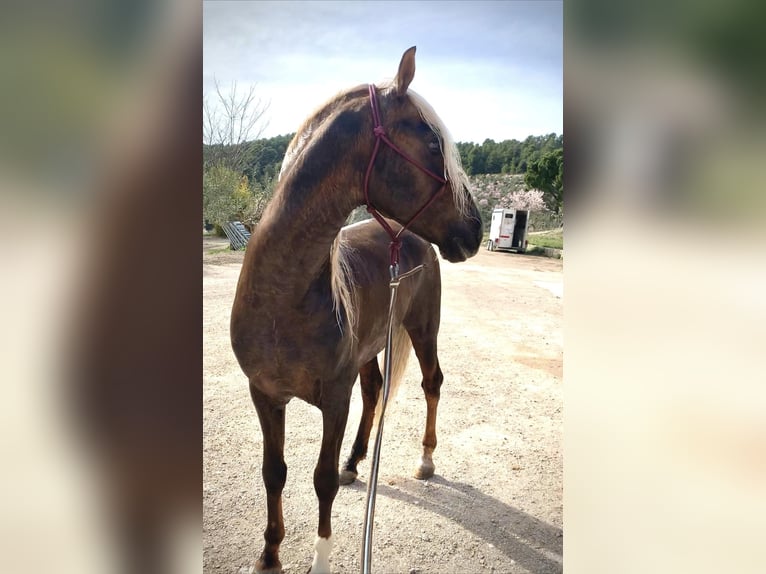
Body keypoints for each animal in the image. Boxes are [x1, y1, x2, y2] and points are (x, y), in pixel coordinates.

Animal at [231, 48, 484, 574]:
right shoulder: (264, 394)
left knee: (432, 383)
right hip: (371, 346)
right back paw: (355, 461)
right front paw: (269, 555)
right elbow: (273, 472)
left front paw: (321, 559)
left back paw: (425, 460)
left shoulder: (334, 399)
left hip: (422, 329)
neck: (284, 298)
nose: (474, 228)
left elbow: (320, 479)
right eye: (432, 141)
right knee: (375, 390)